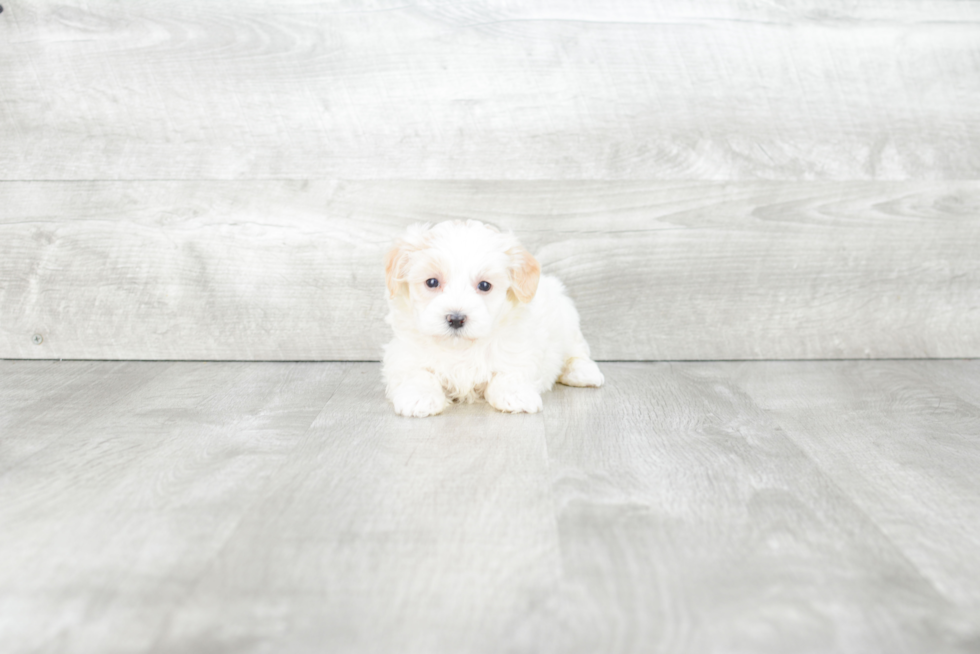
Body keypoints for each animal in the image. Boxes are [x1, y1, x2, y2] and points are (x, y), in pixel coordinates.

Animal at [384, 218, 604, 418]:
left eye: (484, 285)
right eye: (431, 282)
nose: (456, 319)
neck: (461, 348)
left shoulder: (517, 347)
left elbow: (508, 371)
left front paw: (515, 395)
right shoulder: (404, 353)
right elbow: (417, 373)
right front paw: (419, 397)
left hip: (568, 320)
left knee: (576, 352)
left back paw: (584, 373)